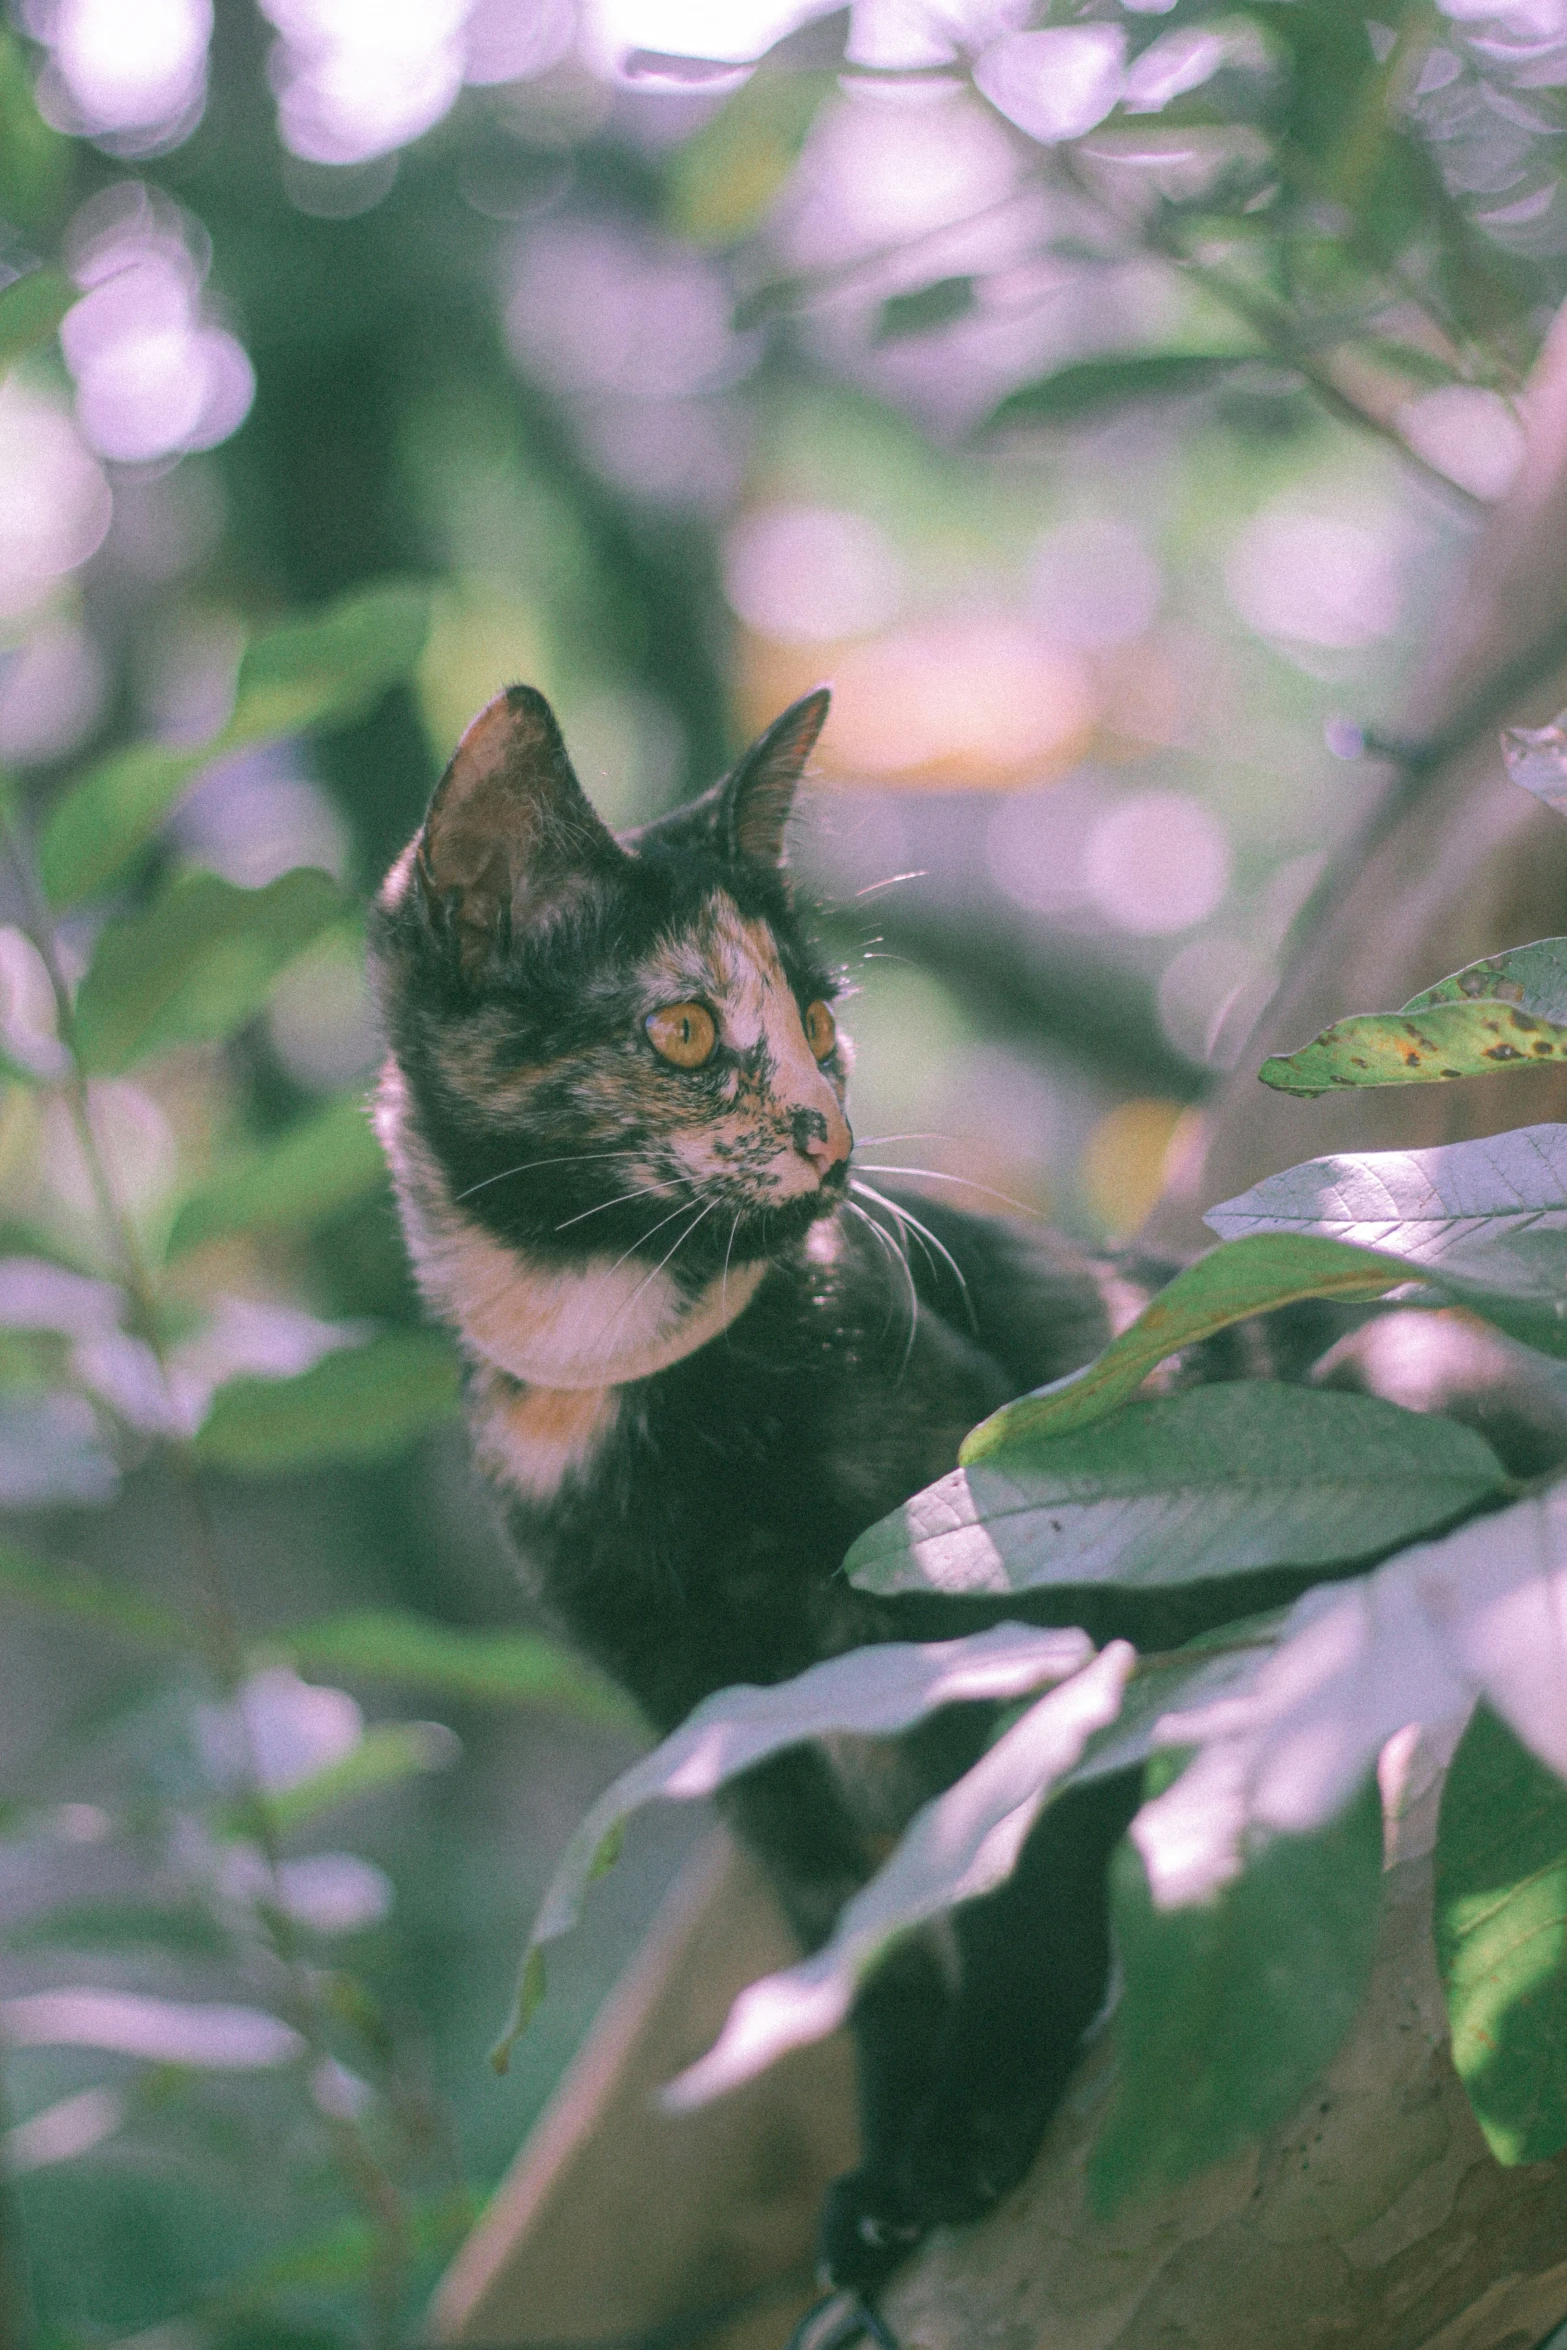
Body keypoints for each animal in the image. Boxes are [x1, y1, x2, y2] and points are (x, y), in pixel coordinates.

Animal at [371, 681, 1362, 2293]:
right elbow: (864, 1953)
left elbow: (1018, 1860)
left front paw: (972, 2122)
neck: (618, 1373)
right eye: (685, 1027)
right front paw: (885, 2168)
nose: (828, 1136)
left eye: (823, 1021)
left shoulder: (1009, 1610)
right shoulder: (720, 1719)